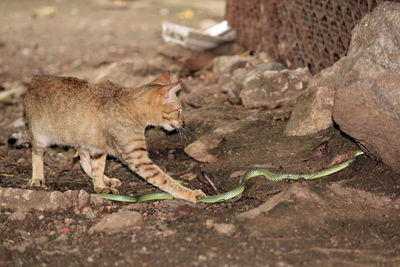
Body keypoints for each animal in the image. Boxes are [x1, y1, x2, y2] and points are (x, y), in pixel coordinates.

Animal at [23, 72, 206, 202]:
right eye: (179, 110)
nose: (183, 122)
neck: (131, 105)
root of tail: (34, 80)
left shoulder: (98, 148)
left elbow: (97, 167)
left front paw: (100, 186)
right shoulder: (137, 157)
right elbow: (165, 179)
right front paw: (190, 193)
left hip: (85, 139)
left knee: (84, 162)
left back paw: (106, 180)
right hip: (41, 137)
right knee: (36, 154)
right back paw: (37, 178)